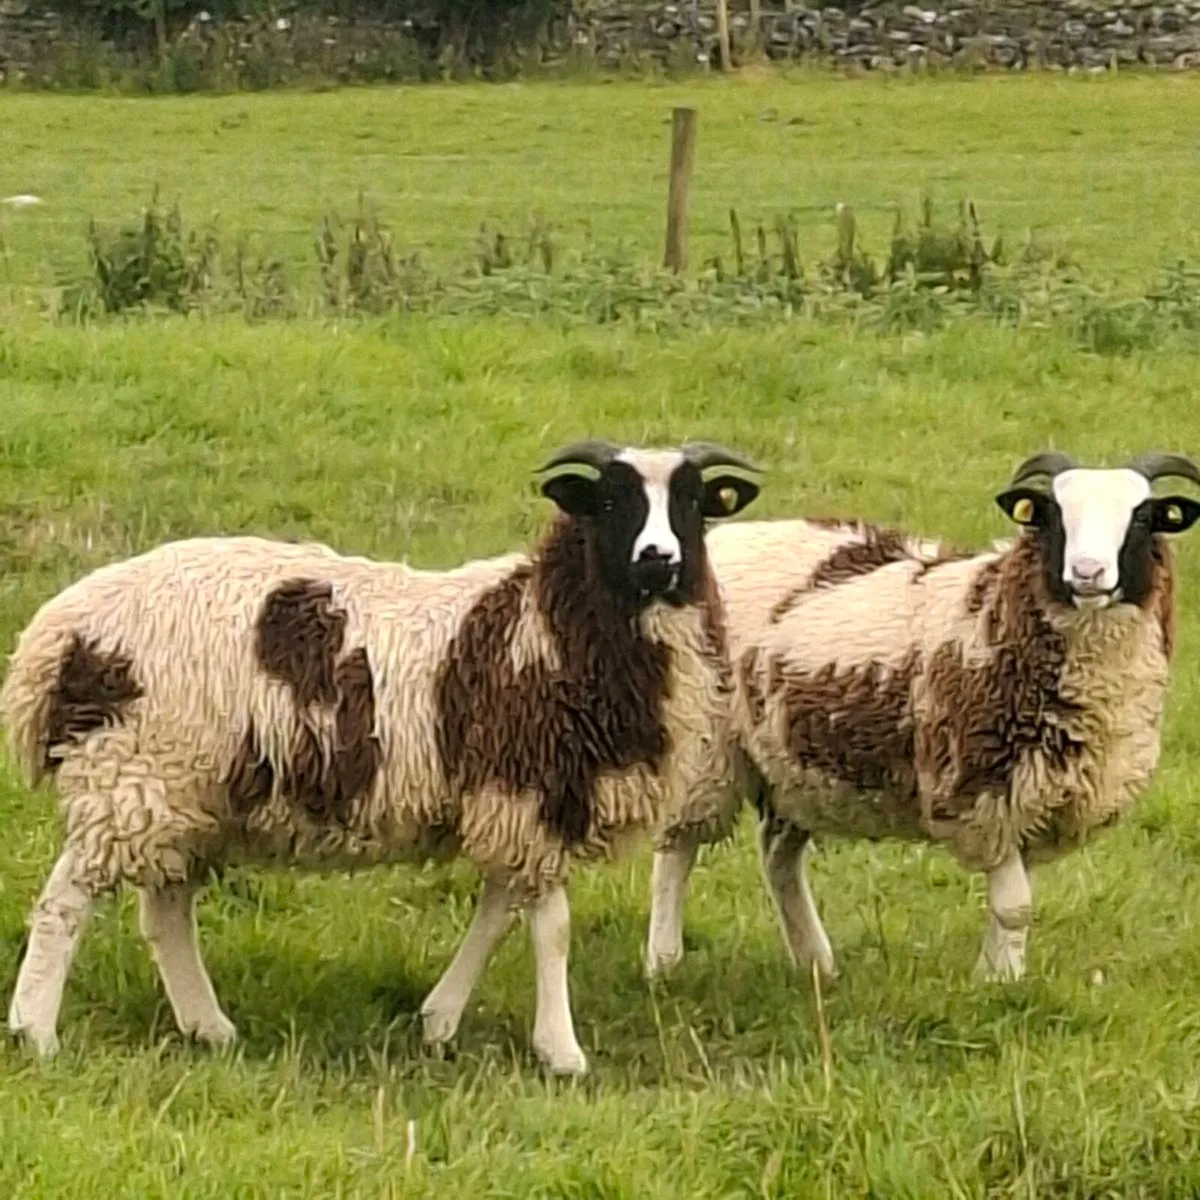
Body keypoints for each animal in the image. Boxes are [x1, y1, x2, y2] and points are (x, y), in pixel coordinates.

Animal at [2, 439, 761, 1073]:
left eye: (692, 504)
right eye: (610, 501)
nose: (659, 559)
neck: (553, 620)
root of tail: (53, 633)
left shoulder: (509, 802)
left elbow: (496, 913)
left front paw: (440, 1020)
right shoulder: (530, 791)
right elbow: (552, 929)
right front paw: (562, 1052)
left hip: (188, 787)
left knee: (164, 910)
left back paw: (209, 1028)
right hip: (132, 772)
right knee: (64, 904)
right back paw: (37, 1032)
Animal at [644, 451, 1200, 985]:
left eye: (1142, 517)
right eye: (1054, 517)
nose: (1086, 573)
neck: (994, 609)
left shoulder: (1036, 802)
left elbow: (1017, 903)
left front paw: (999, 973)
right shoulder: (980, 790)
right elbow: (1015, 906)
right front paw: (1000, 985)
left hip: (790, 762)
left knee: (777, 856)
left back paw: (815, 963)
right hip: (705, 746)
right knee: (677, 849)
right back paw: (663, 962)